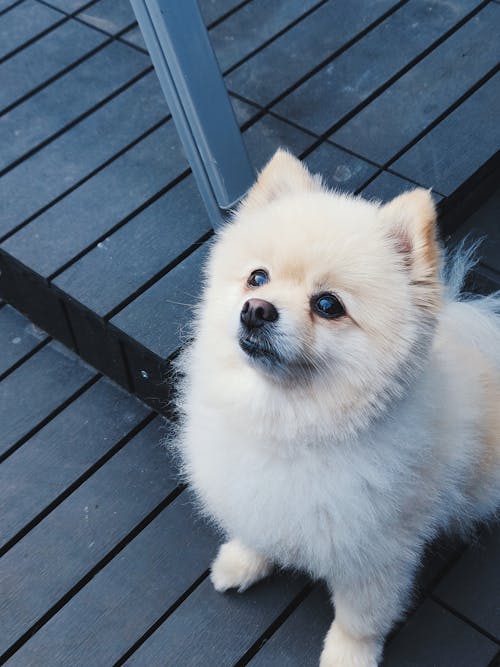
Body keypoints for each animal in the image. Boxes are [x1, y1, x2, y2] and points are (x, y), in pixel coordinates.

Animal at [173, 151, 500, 667]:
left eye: (328, 305)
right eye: (257, 277)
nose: (256, 308)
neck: (288, 424)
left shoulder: (378, 552)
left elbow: (360, 619)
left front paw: (348, 655)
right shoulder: (253, 493)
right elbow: (256, 528)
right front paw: (242, 561)